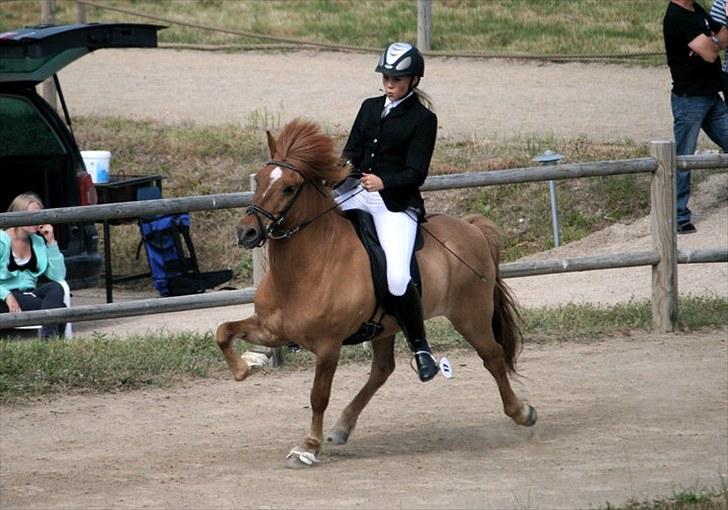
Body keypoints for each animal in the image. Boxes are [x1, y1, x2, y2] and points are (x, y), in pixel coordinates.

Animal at [215, 118, 536, 466]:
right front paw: (244, 368)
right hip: (386, 326)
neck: (306, 267)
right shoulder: (272, 330)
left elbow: (318, 396)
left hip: (471, 316)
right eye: (260, 180)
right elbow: (223, 331)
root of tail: (472, 228)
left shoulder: (328, 346)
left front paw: (309, 447)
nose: (246, 232)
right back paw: (342, 427)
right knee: (382, 370)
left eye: (289, 187)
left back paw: (522, 412)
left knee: (493, 357)